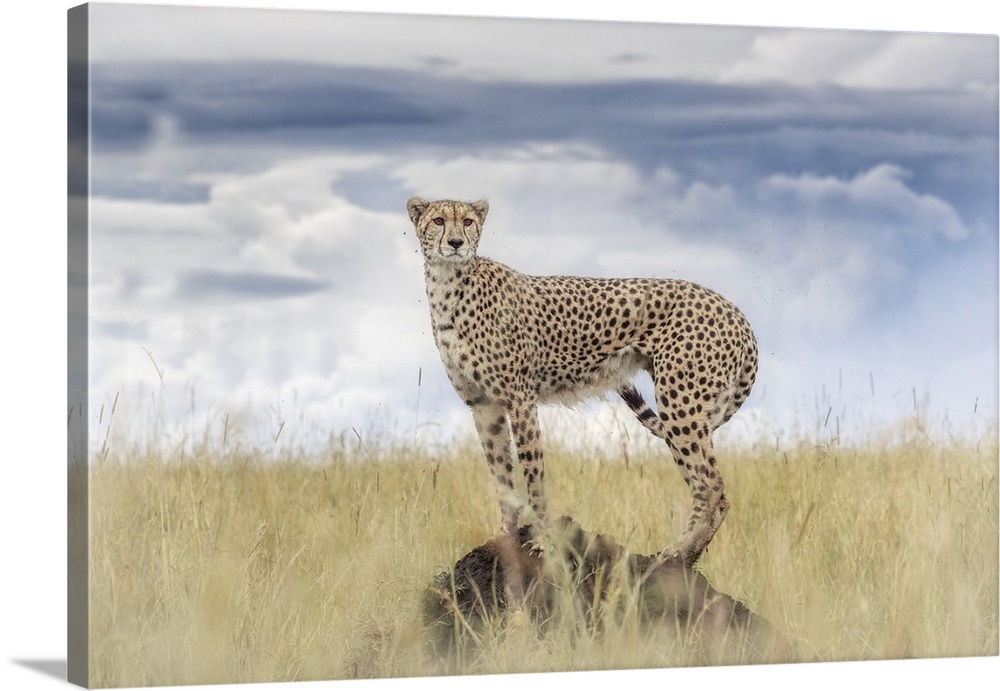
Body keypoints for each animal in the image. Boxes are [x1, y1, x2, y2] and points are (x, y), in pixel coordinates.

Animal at [406, 197, 756, 564]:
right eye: (439, 220)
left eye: (468, 221)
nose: (455, 242)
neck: (448, 282)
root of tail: (737, 313)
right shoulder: (484, 405)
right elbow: (502, 476)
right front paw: (502, 537)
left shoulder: (520, 399)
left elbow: (533, 474)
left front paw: (545, 541)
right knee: (713, 486)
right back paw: (687, 554)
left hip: (680, 404)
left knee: (711, 487)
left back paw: (679, 552)